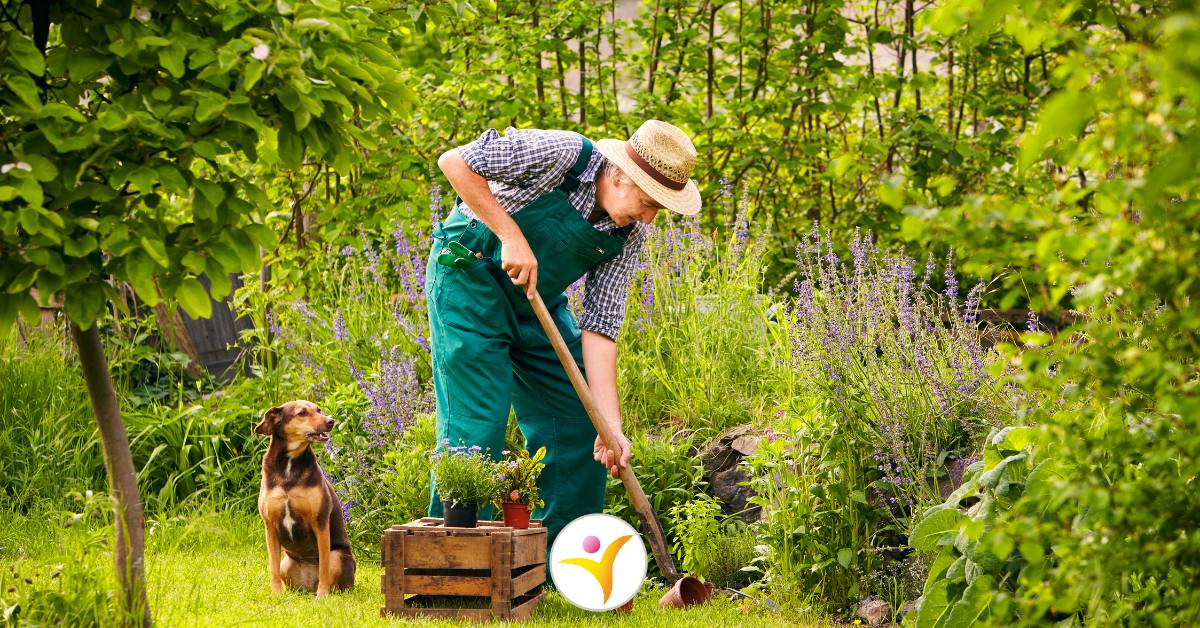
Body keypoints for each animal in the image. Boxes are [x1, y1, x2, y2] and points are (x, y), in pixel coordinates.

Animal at [255, 401, 352, 597]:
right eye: (302, 413)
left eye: (319, 410)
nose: (331, 421)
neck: (289, 464)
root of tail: (308, 586)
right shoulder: (270, 526)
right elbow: (272, 567)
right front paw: (276, 594)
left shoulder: (320, 522)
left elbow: (324, 567)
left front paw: (322, 596)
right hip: (286, 563)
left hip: (337, 556)